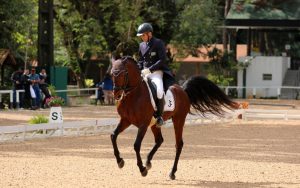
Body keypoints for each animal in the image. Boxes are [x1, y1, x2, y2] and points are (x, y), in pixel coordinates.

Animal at [109, 56, 238, 180]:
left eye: (122, 73)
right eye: (111, 74)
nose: (116, 95)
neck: (134, 95)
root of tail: (183, 90)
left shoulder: (143, 124)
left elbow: (136, 145)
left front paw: (142, 169)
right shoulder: (126, 120)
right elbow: (113, 135)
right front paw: (120, 161)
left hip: (178, 120)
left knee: (178, 144)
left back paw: (172, 172)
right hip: (155, 123)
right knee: (159, 140)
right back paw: (149, 162)